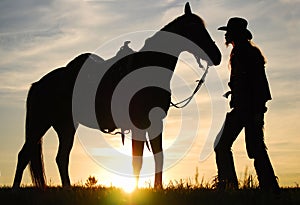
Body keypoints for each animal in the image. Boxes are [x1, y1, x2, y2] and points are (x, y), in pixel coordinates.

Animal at [12, 2, 221, 189]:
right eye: (194, 29)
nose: (217, 56)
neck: (149, 68)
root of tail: (38, 84)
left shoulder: (156, 123)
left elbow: (158, 157)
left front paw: (157, 189)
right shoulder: (140, 124)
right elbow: (138, 161)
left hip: (65, 126)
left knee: (60, 158)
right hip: (41, 124)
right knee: (25, 155)